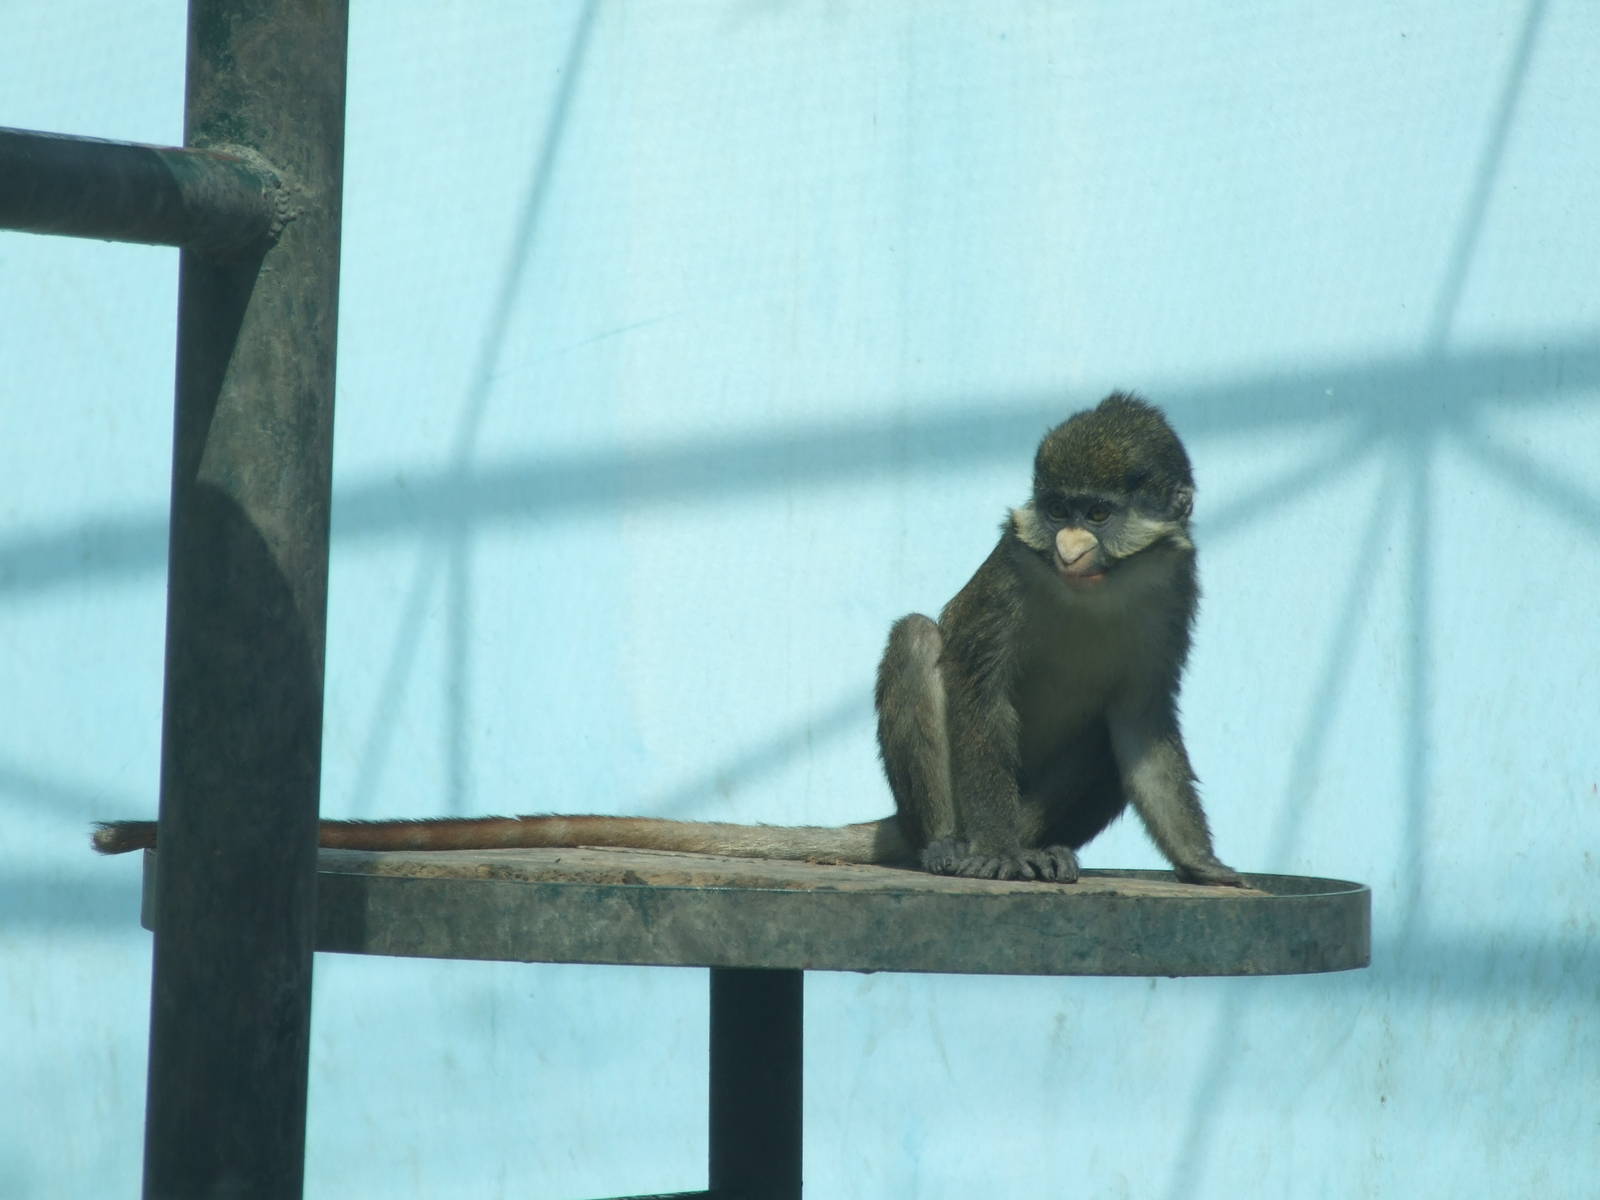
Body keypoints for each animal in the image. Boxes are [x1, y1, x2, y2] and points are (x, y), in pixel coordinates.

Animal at [94, 392, 1240, 887]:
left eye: (1099, 508)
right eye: (1055, 510)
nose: (1068, 541)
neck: (1095, 589)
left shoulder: (1174, 589)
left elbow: (1140, 727)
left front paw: (1211, 867)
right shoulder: (1011, 576)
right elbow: (968, 679)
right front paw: (998, 853)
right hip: (936, 794)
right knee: (922, 641)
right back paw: (955, 851)